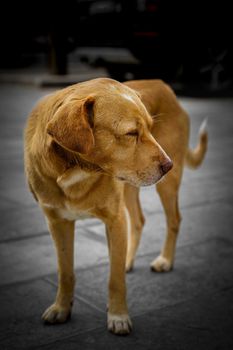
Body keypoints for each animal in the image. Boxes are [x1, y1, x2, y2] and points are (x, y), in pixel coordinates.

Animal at [24, 78, 208, 334]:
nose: (169, 164)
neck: (76, 170)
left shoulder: (115, 220)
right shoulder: (57, 223)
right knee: (139, 220)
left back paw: (165, 260)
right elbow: (65, 271)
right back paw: (129, 260)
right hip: (131, 186)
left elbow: (115, 279)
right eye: (131, 133)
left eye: (151, 128)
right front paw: (61, 308)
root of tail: (164, 85)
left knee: (174, 219)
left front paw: (118, 315)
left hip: (166, 186)